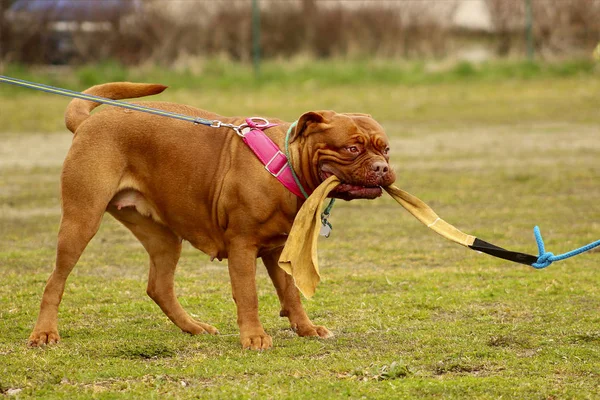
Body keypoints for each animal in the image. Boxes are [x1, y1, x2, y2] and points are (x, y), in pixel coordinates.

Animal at [28, 82, 396, 350]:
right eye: (352, 148)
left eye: (386, 148)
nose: (382, 168)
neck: (285, 163)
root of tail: (90, 121)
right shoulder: (242, 247)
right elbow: (248, 295)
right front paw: (254, 337)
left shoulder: (279, 251)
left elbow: (291, 293)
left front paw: (305, 328)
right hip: (81, 221)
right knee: (55, 281)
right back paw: (44, 333)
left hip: (163, 237)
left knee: (158, 286)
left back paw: (193, 326)